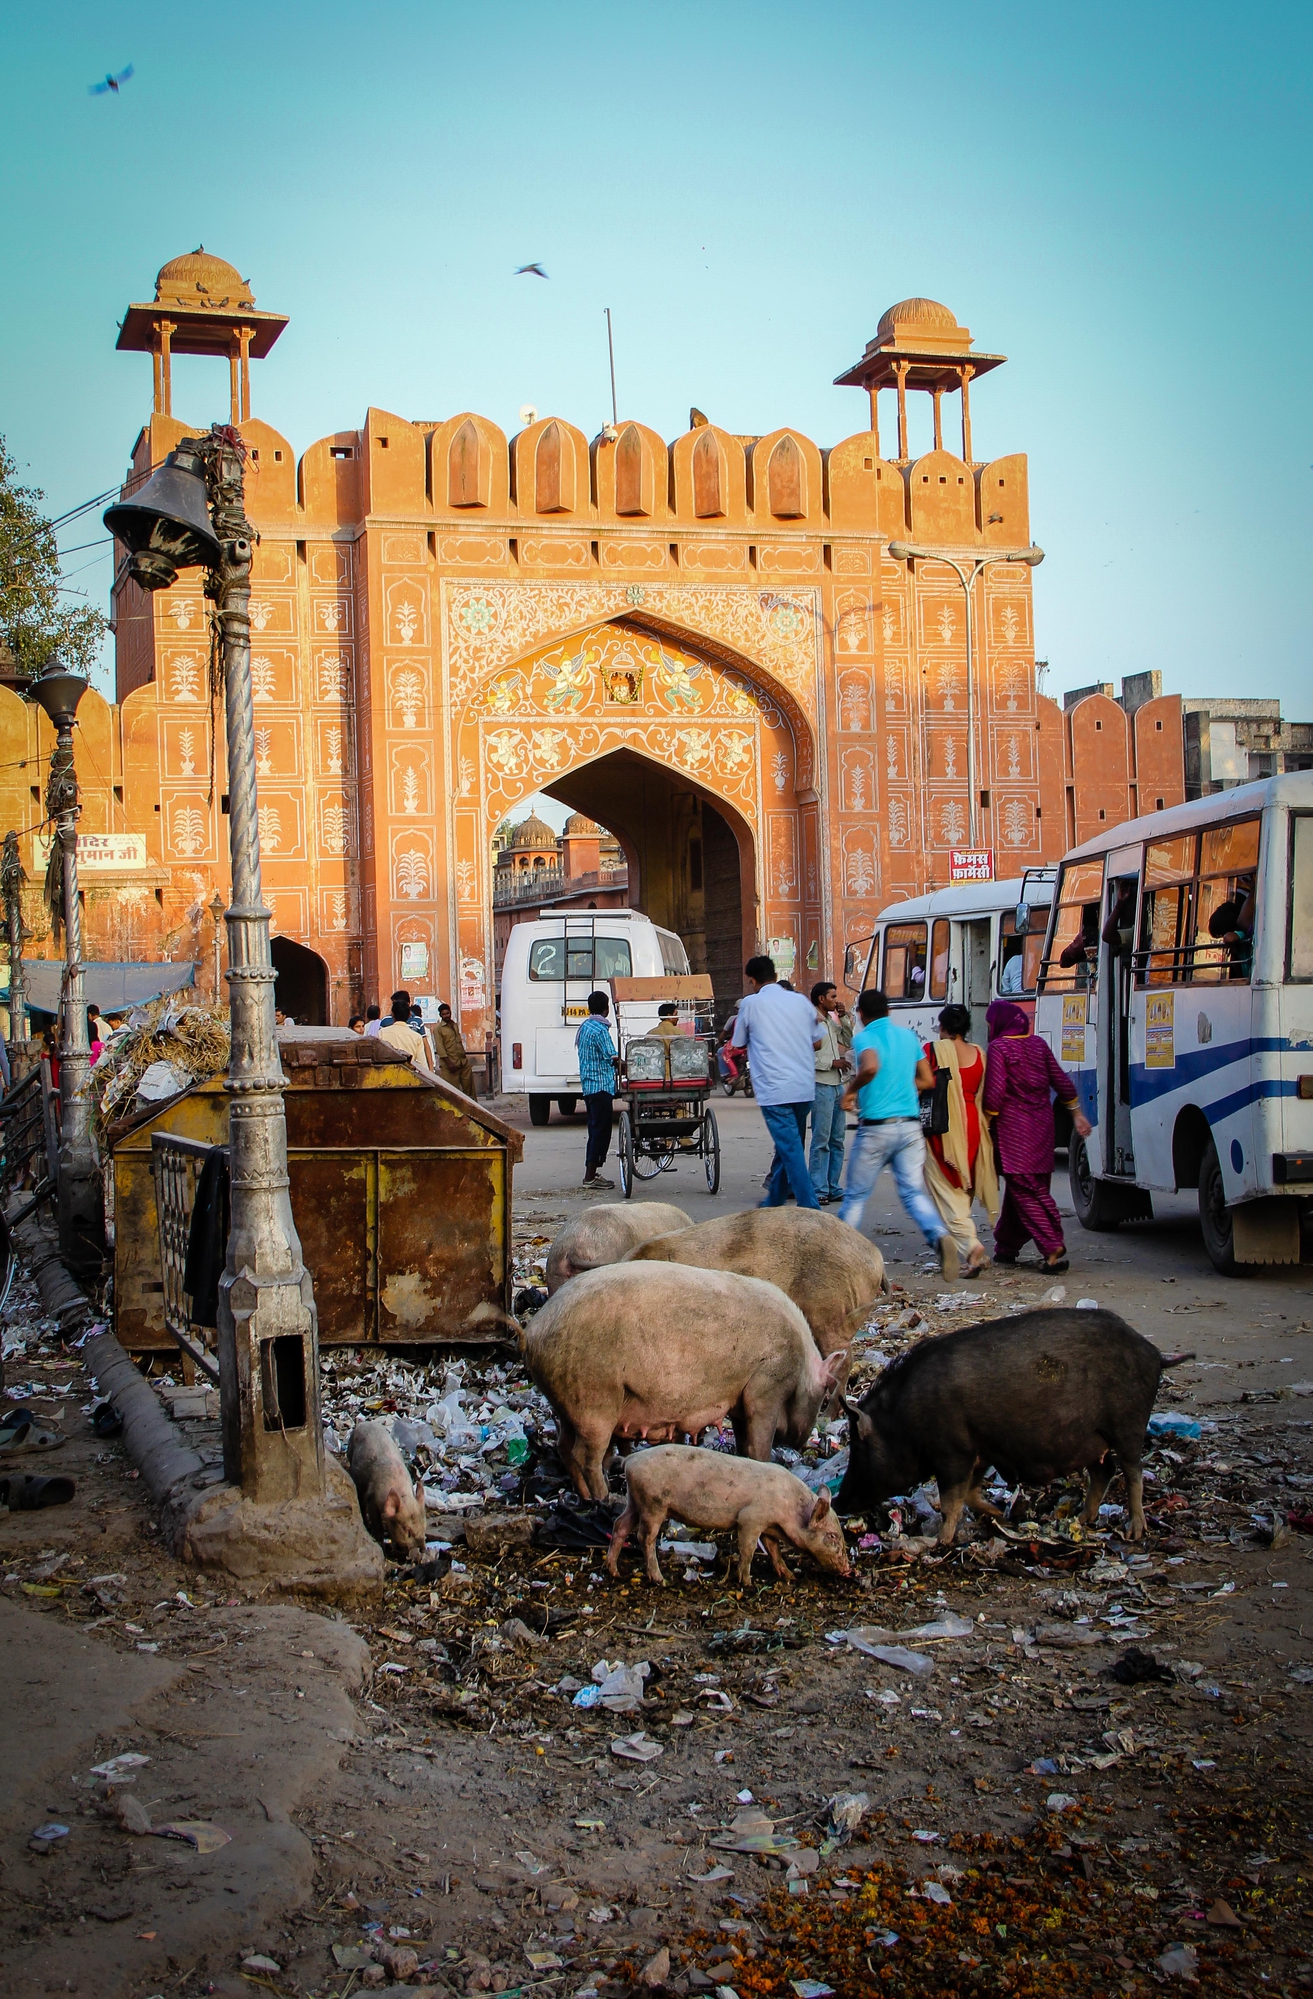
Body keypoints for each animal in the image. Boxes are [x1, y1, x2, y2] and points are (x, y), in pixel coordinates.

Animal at [839, 1311, 1191, 1543]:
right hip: (1092, 1439)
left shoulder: (953, 1451)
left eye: (859, 1449)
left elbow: (952, 1500)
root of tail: (1154, 1352)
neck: (904, 1420)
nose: (839, 1500)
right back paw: (1080, 1519)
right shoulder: (980, 1449)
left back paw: (1134, 1531)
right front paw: (998, 1517)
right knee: (1105, 1471)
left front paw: (941, 1542)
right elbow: (970, 1493)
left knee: (1133, 1471)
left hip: (1128, 1423)